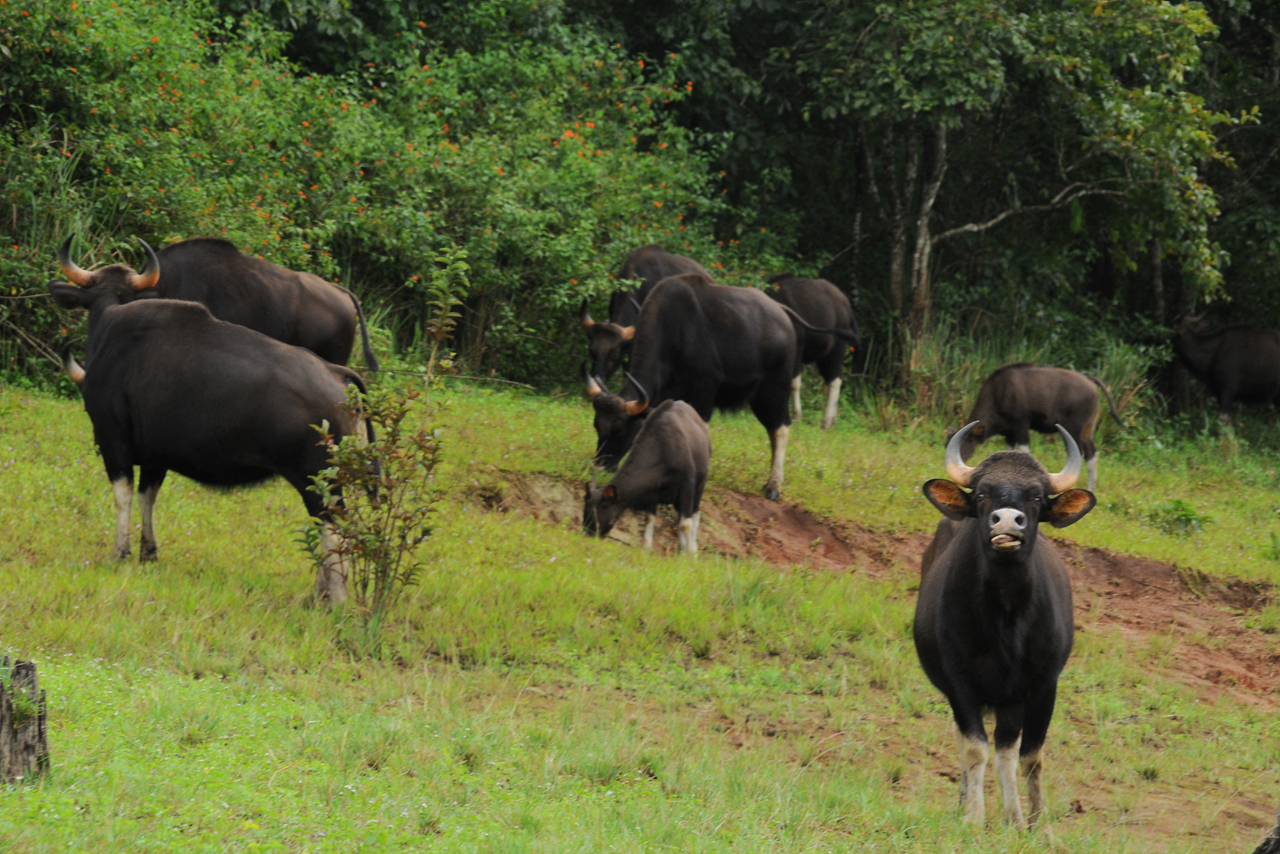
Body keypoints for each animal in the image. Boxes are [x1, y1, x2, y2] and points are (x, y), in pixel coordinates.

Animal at [581, 395, 710, 554]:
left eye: (596, 517)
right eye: (585, 514)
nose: (588, 536)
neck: (660, 450)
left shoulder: (687, 486)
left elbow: (686, 523)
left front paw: (691, 553)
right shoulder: (652, 493)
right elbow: (650, 519)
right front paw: (647, 548)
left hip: (700, 485)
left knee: (694, 514)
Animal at [767, 274, 861, 429]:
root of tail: (846, 306)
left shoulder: (797, 350)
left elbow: (794, 383)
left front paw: (796, 416)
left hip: (837, 349)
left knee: (835, 379)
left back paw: (826, 421)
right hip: (823, 355)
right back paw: (831, 421)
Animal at [916, 422, 1094, 827]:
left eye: (1037, 497)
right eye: (983, 492)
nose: (1008, 522)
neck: (1007, 616)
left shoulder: (1043, 685)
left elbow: (1029, 756)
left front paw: (1033, 824)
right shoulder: (960, 681)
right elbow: (974, 749)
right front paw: (973, 816)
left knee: (1007, 750)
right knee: (968, 741)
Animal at [949, 363, 1122, 492]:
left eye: (963, 443)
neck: (999, 393)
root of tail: (1089, 379)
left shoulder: (1021, 425)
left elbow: (1024, 452)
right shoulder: (1009, 433)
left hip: (1073, 429)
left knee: (1078, 455)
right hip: (1088, 429)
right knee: (1092, 455)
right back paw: (1091, 491)